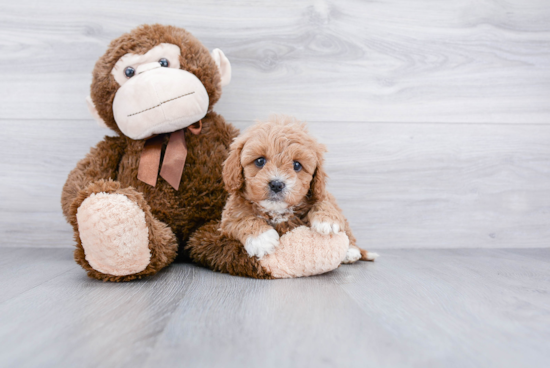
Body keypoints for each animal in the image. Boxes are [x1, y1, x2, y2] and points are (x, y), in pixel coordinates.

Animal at [220, 116, 380, 264]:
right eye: (260, 161)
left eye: (297, 165)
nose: (277, 184)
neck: (277, 211)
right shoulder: (228, 219)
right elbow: (241, 219)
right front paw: (262, 239)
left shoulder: (321, 194)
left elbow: (323, 202)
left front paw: (327, 220)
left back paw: (351, 251)